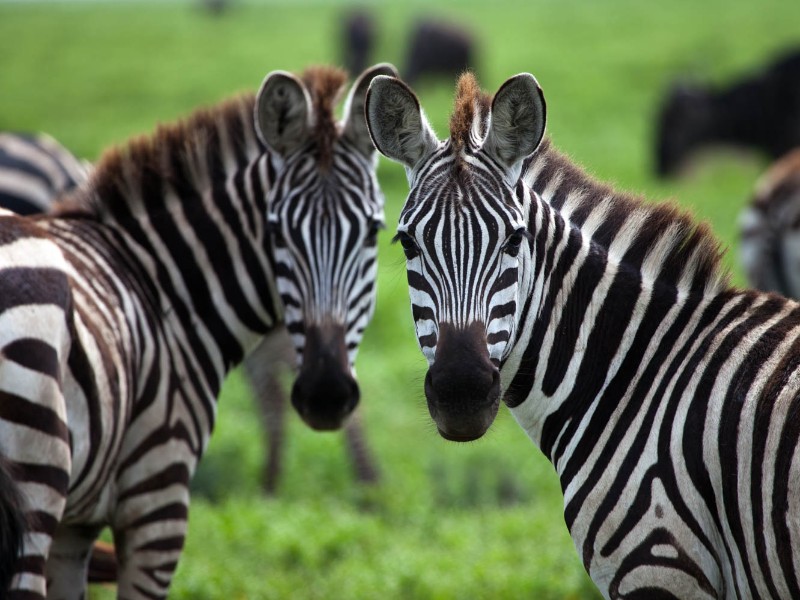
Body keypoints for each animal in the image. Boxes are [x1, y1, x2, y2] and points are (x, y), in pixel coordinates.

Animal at [0, 62, 397, 598]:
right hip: (36, 486)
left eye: (372, 231)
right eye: (275, 232)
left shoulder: (76, 526)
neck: (159, 283)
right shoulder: (157, 498)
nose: (326, 394)